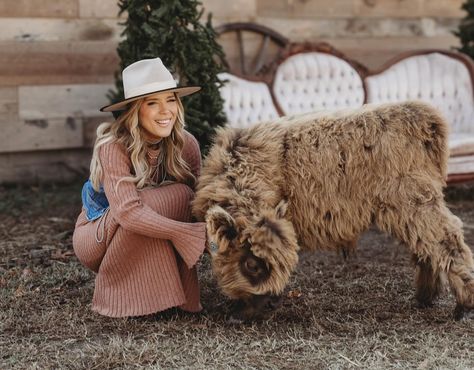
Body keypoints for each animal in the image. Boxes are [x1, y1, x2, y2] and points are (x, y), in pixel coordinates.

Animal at [193, 100, 474, 320]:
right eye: (251, 264)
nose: (273, 301)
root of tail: (423, 116)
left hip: (413, 201)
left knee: (447, 240)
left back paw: (464, 306)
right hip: (412, 209)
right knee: (426, 246)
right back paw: (424, 298)